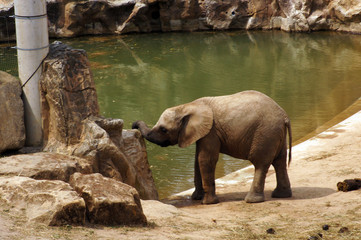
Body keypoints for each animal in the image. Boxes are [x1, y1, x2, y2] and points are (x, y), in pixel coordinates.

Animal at [131, 90, 292, 204]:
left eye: (164, 129)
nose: (133, 125)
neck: (187, 106)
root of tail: (285, 116)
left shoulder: (211, 132)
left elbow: (205, 159)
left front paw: (207, 202)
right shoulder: (202, 133)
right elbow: (197, 161)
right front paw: (196, 198)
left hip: (265, 133)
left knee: (260, 163)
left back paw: (251, 201)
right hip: (275, 134)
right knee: (280, 161)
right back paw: (281, 195)